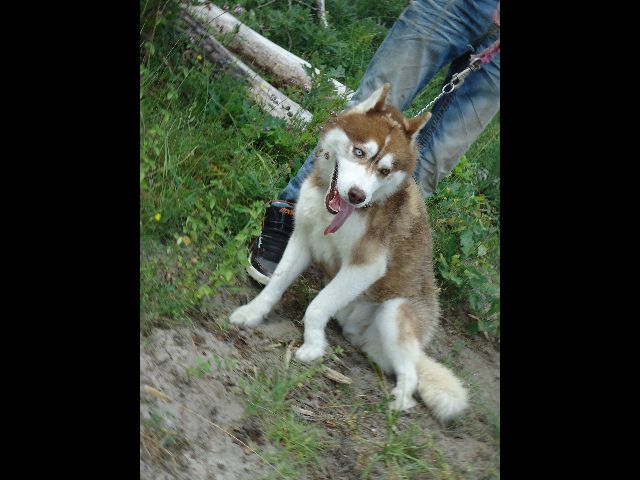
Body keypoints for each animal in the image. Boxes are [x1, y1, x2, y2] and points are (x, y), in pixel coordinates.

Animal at [230, 84, 464, 422]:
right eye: (359, 152)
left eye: (385, 170)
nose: (357, 195)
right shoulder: (302, 237)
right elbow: (275, 284)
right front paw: (252, 313)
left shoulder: (366, 267)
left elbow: (316, 307)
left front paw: (314, 345)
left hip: (394, 313)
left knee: (411, 374)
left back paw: (399, 402)